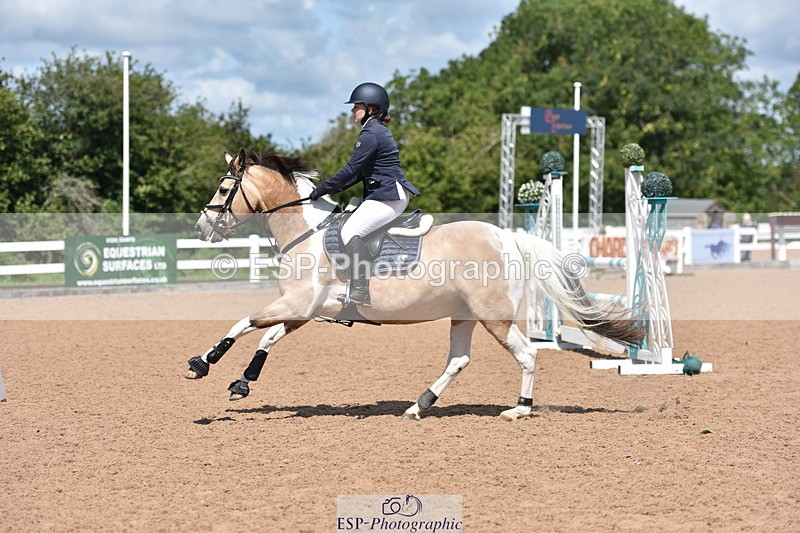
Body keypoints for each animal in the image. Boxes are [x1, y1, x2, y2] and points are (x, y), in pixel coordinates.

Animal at [187, 149, 644, 420]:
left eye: (225, 188)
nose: (202, 228)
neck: (307, 232)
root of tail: (508, 237)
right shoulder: (305, 309)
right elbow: (267, 337)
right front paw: (243, 381)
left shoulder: (299, 304)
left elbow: (245, 323)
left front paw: (203, 363)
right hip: (464, 316)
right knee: (458, 360)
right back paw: (419, 405)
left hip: (494, 318)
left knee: (527, 354)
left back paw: (519, 409)